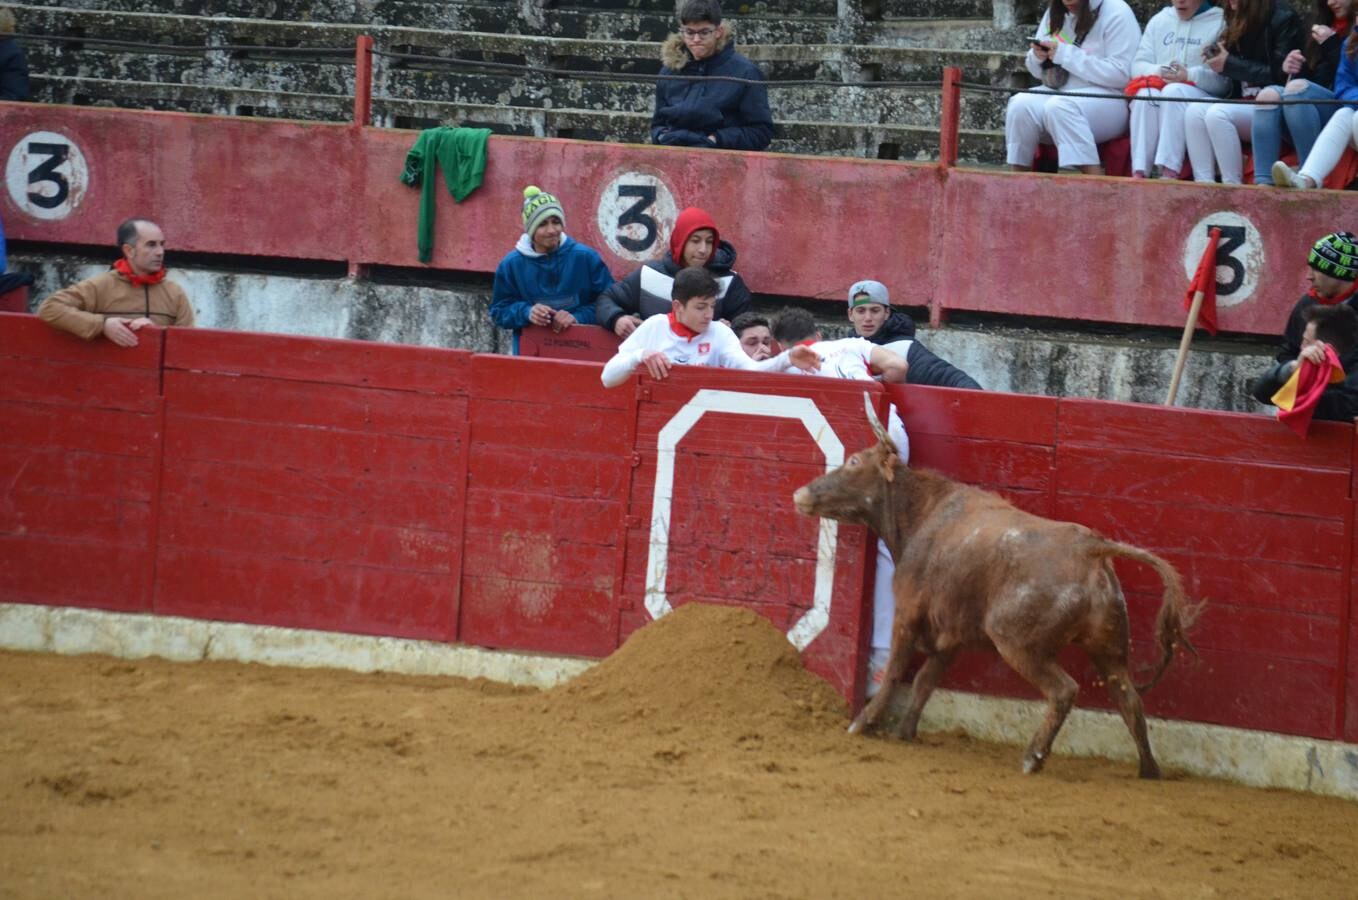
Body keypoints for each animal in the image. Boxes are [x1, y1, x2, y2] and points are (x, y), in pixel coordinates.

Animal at [793, 399, 1200, 776]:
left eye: (854, 462)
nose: (800, 494)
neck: (924, 512)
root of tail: (1091, 548)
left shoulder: (907, 613)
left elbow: (896, 669)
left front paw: (862, 723)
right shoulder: (949, 634)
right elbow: (925, 680)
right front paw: (905, 732)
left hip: (1017, 641)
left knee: (1064, 690)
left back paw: (1033, 758)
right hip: (1109, 648)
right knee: (1129, 700)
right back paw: (1149, 770)